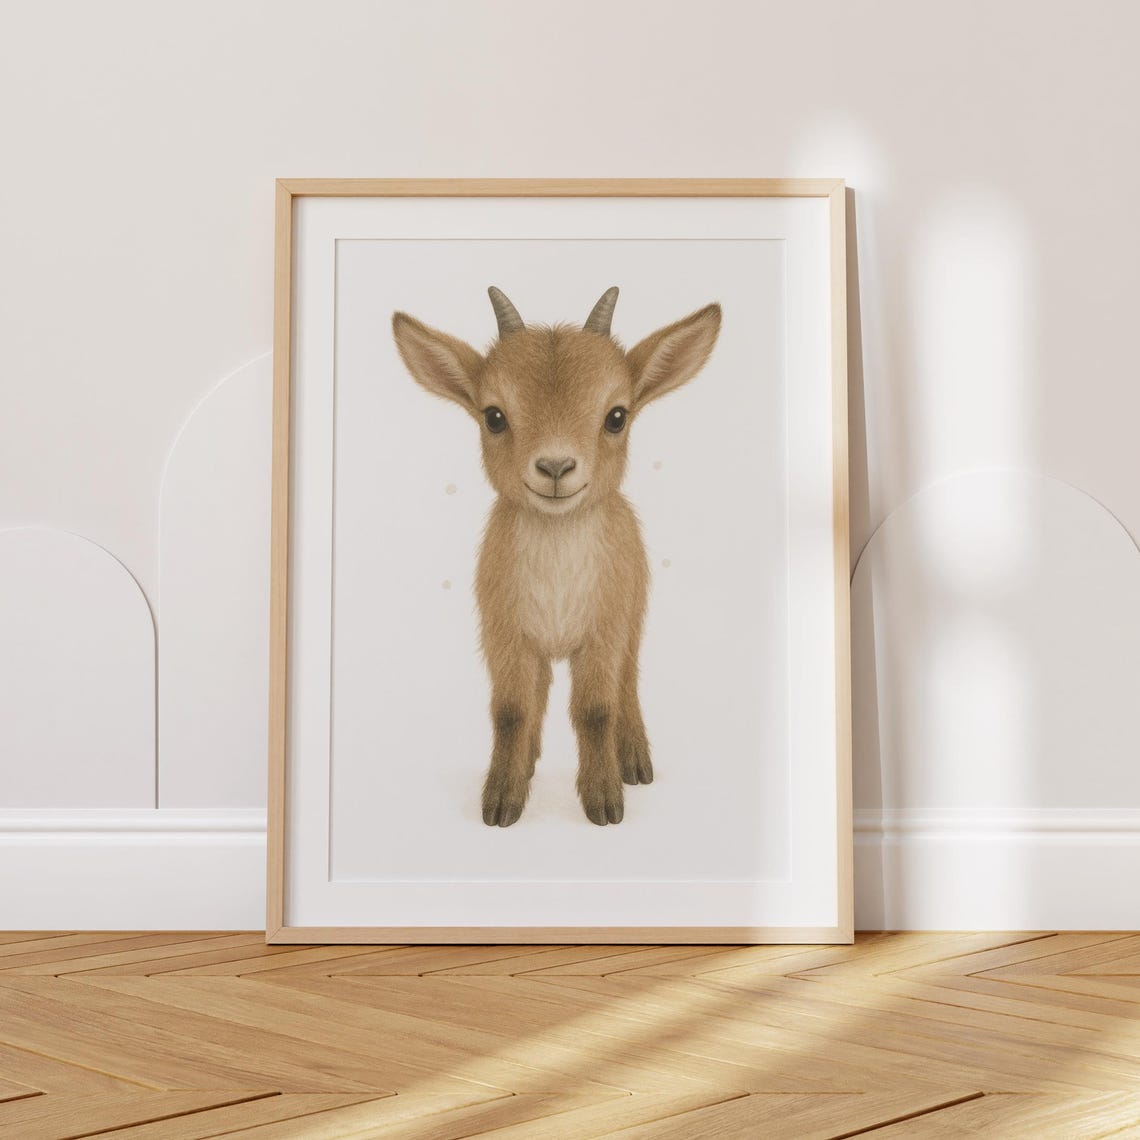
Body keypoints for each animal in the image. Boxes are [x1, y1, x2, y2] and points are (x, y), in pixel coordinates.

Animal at [392, 286, 721, 825]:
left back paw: (634, 760)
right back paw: (529, 763)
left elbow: (595, 710)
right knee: (542, 689)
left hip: (633, 618)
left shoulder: (604, 630)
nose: (555, 467)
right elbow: (511, 710)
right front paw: (501, 800)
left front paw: (604, 799)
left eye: (616, 416)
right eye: (494, 416)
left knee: (627, 681)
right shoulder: (504, 633)